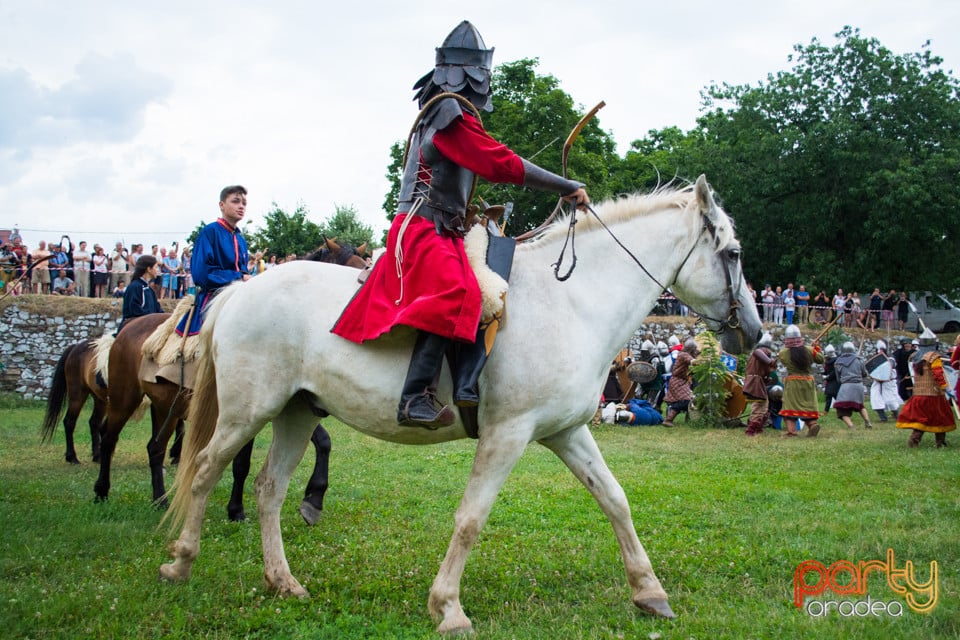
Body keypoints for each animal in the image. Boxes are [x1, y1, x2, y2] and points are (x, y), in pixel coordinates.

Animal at [161, 175, 760, 636]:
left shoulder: (567, 432)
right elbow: (472, 517)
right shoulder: (507, 435)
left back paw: (283, 581)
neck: (571, 302)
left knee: (270, 488)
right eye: (732, 254)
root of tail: (241, 289)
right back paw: (181, 561)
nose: (753, 331)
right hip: (248, 411)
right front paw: (447, 608)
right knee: (206, 469)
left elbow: (615, 499)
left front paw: (649, 591)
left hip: (298, 411)